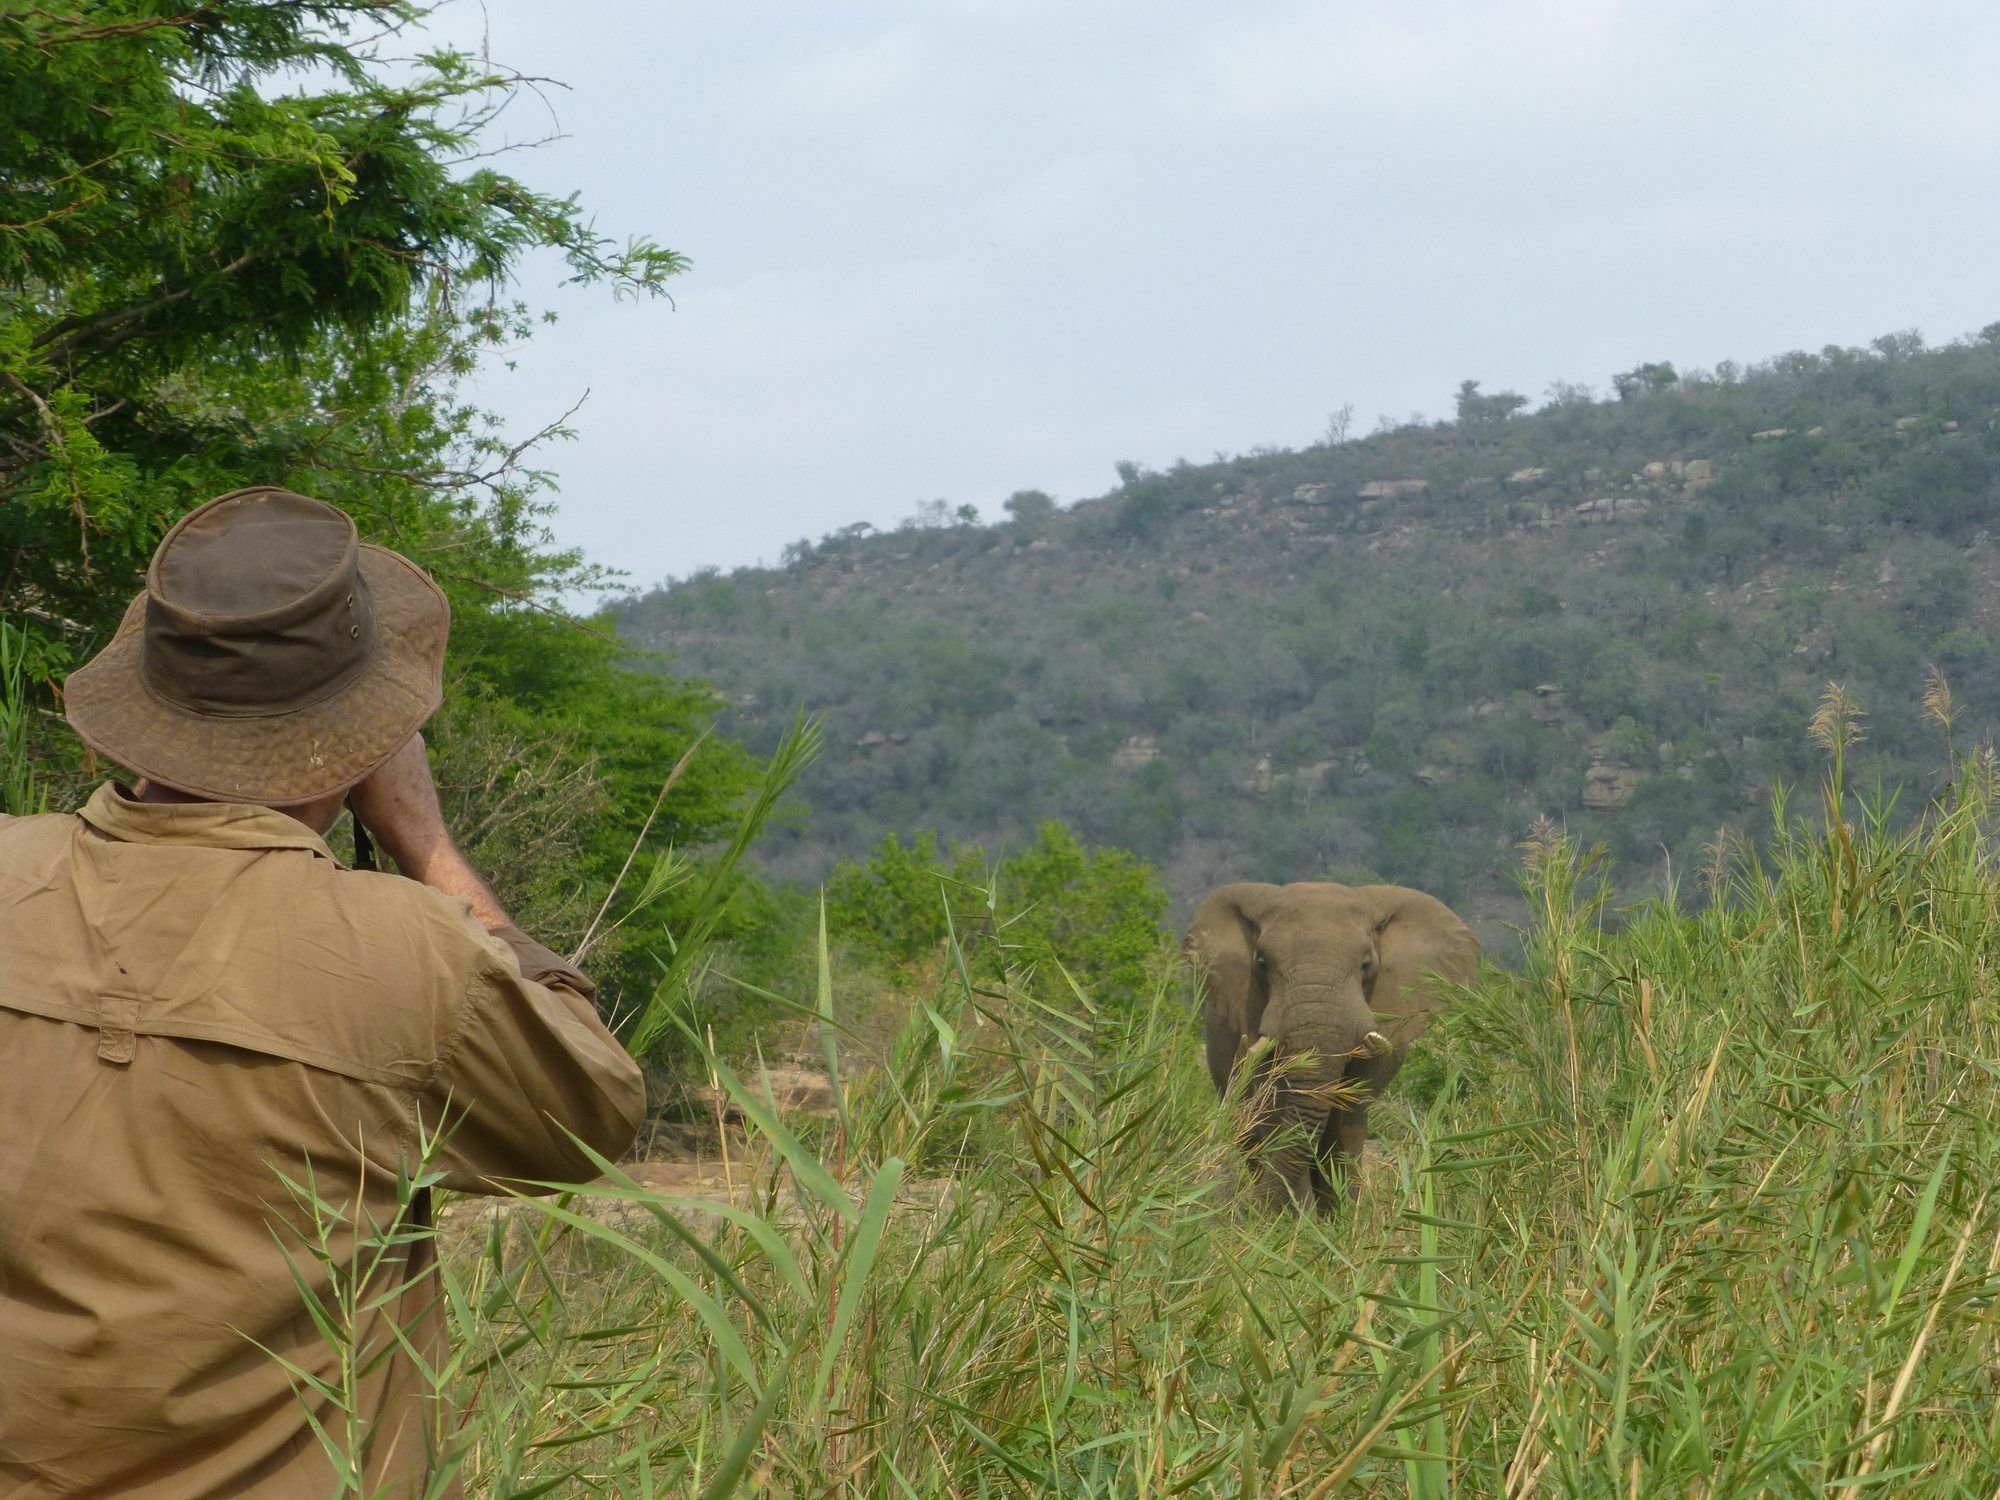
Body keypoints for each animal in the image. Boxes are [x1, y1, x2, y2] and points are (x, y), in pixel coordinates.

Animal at [1184, 880, 1472, 1208]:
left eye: (1366, 964)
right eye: (1262, 963)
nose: (1254, 1205)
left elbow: (1347, 1115)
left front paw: (1340, 1216)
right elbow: (1276, 1107)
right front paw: (1294, 1217)